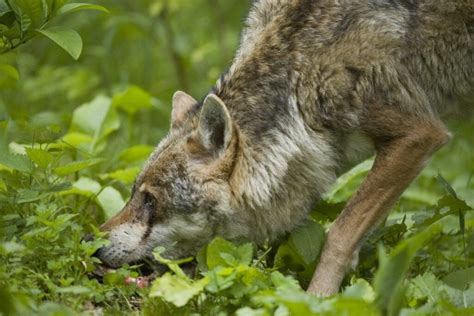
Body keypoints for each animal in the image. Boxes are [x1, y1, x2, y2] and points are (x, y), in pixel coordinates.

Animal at [94, 0, 472, 296]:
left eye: (150, 200)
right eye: (133, 195)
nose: (91, 245)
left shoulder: (419, 134)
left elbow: (339, 234)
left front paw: (318, 299)